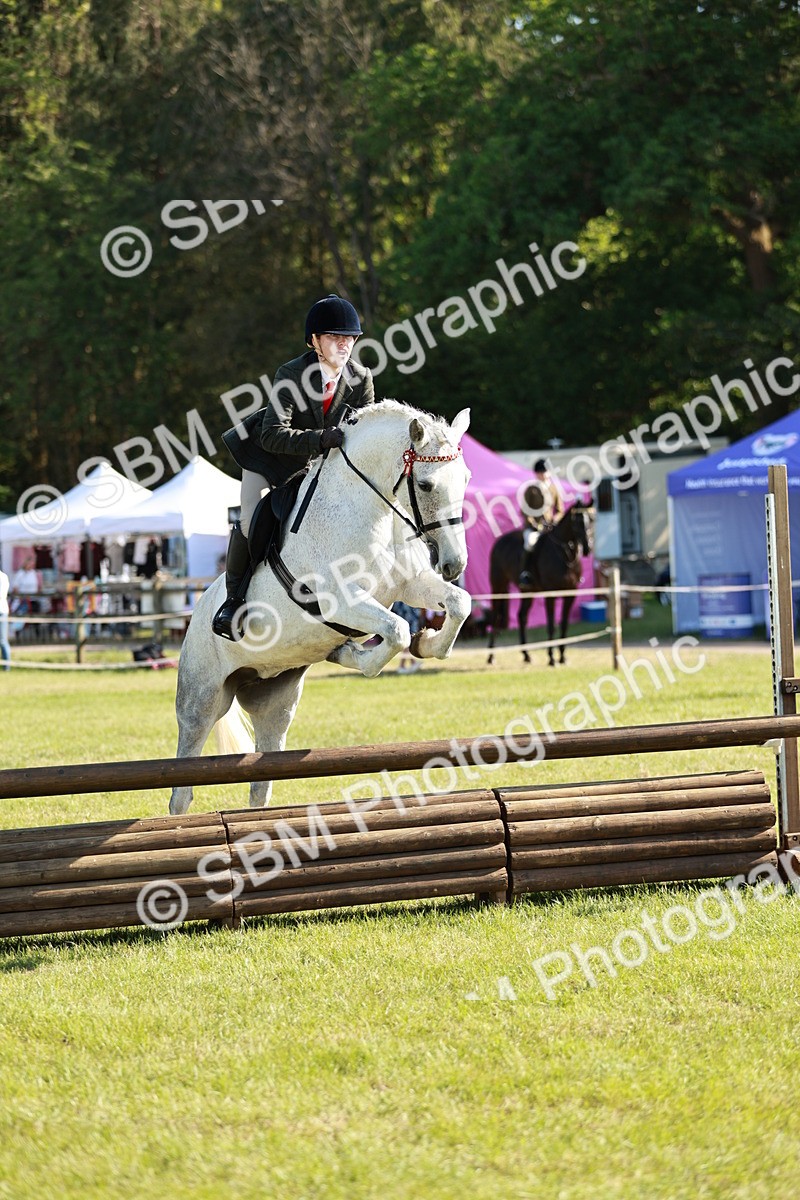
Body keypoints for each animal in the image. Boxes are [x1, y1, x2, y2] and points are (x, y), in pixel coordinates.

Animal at [169, 400, 472, 814]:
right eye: (425, 485)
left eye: (466, 479)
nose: (455, 564)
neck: (369, 511)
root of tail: (196, 614)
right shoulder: (338, 601)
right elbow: (396, 630)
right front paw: (354, 654)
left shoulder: (410, 584)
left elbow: (459, 603)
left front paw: (427, 644)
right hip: (202, 698)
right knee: (182, 785)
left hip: (274, 704)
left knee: (261, 781)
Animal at [485, 503, 593, 666]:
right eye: (576, 522)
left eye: (591, 519)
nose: (587, 548)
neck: (564, 555)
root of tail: (500, 541)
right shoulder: (551, 594)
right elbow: (551, 625)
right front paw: (552, 658)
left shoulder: (570, 594)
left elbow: (564, 624)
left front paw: (562, 657)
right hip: (499, 587)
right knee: (495, 617)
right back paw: (491, 657)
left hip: (528, 591)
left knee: (522, 616)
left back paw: (526, 655)